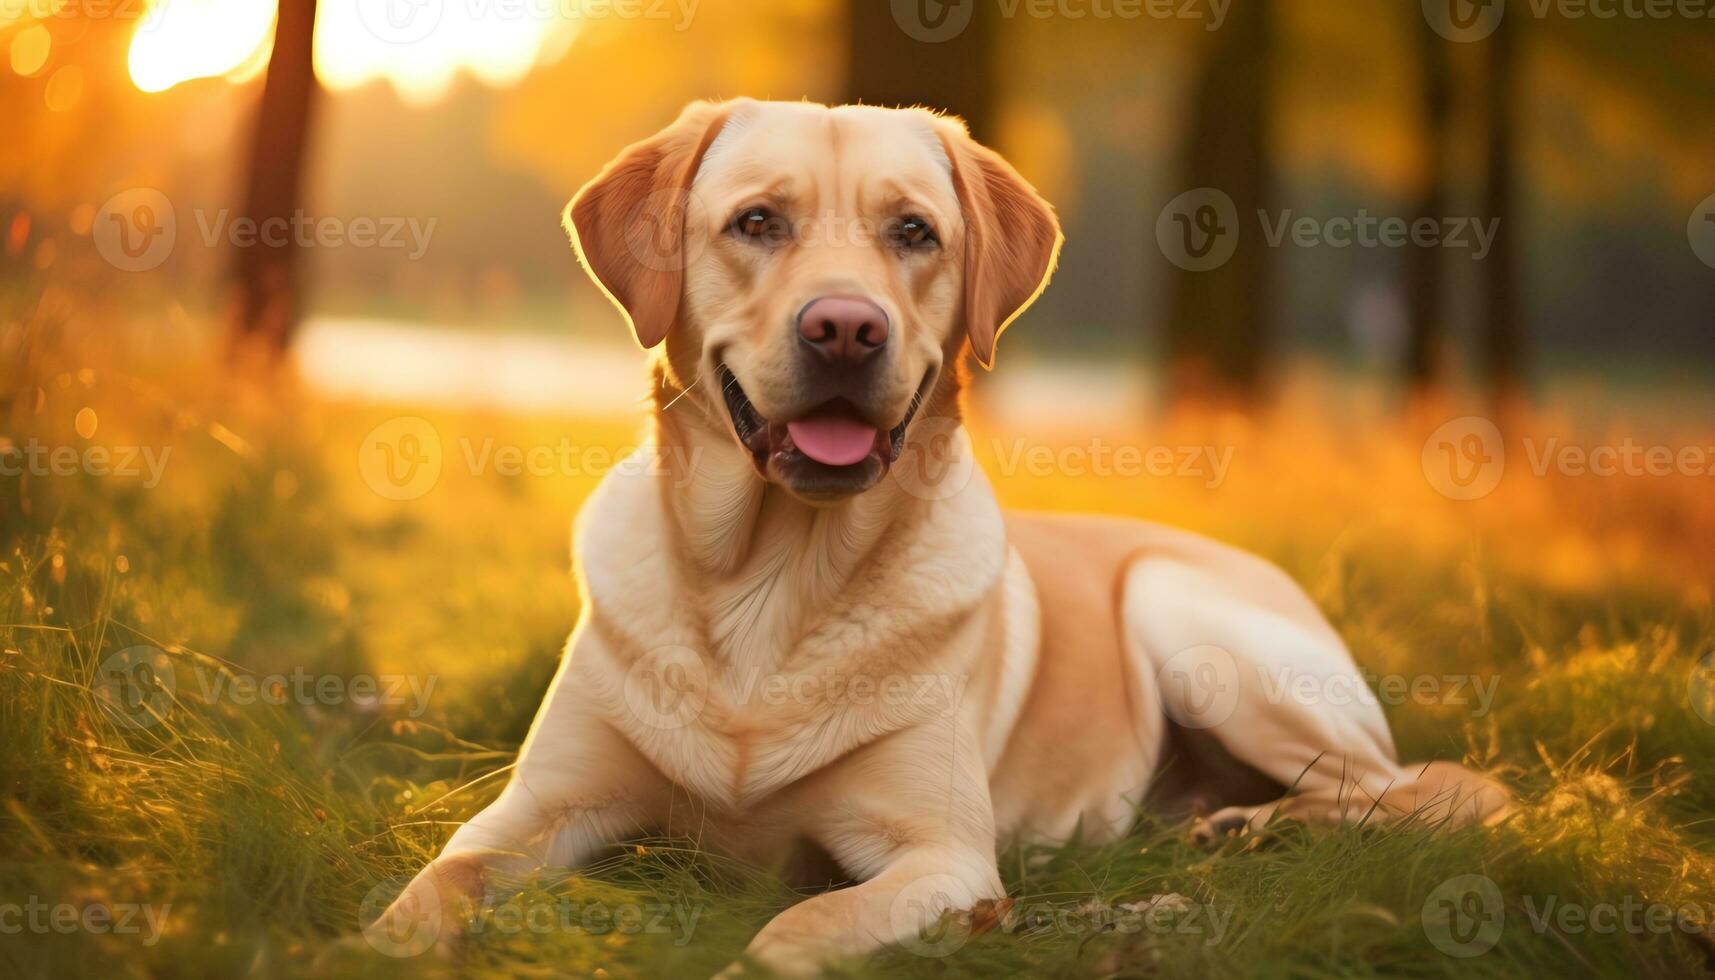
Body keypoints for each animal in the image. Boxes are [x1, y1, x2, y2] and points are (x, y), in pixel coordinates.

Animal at [382, 99, 1509, 974]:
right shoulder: (535, 807)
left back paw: (1255, 825)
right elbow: (433, 883)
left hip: (1194, 626)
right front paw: (379, 941)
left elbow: (797, 926)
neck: (770, 579)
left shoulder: (939, 856)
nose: (845, 328)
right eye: (756, 221)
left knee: (1415, 788)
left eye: (915, 233)